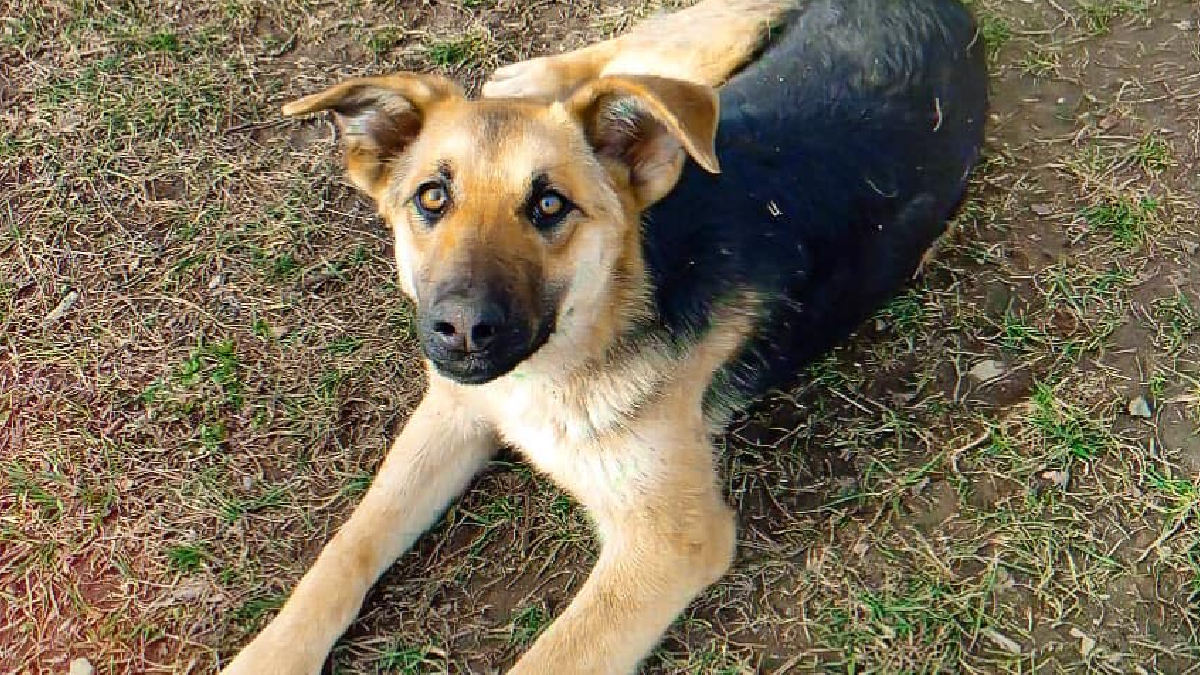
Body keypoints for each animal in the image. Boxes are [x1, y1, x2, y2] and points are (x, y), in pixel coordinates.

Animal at [219, 0, 988, 672]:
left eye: (549, 204)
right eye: (431, 198)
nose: (460, 330)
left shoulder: (669, 541)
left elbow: (549, 659)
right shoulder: (453, 408)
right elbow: (347, 545)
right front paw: (270, 654)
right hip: (694, 66)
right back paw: (527, 75)